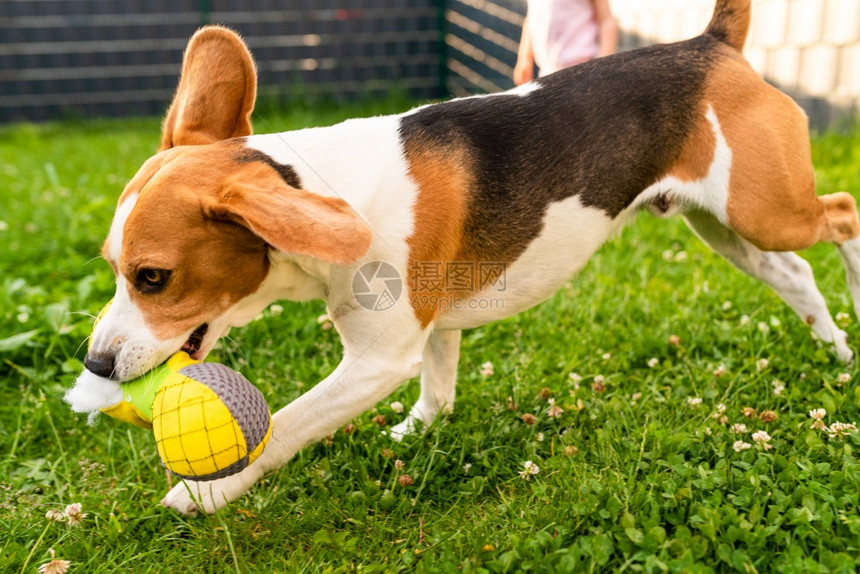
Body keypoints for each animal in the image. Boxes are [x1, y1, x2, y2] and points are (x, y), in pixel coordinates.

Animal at [65, 0, 860, 516]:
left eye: (153, 277)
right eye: (112, 267)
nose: (96, 365)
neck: (319, 186)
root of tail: (708, 42)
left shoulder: (376, 360)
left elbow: (282, 428)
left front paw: (204, 491)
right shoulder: (431, 325)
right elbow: (439, 391)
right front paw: (419, 433)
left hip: (768, 210)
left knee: (844, 211)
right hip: (725, 226)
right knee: (796, 273)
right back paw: (836, 349)